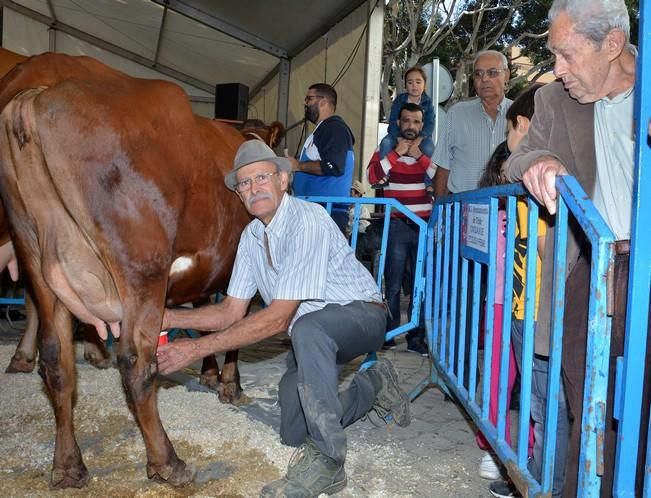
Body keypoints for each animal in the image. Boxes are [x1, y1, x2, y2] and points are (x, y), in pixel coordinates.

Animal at [0, 52, 252, 488]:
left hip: (34, 253)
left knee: (56, 361)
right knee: (135, 363)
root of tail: (38, 89)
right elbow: (232, 323)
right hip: (142, 268)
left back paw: (68, 466)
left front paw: (210, 375)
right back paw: (167, 463)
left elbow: (212, 315)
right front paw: (228, 383)